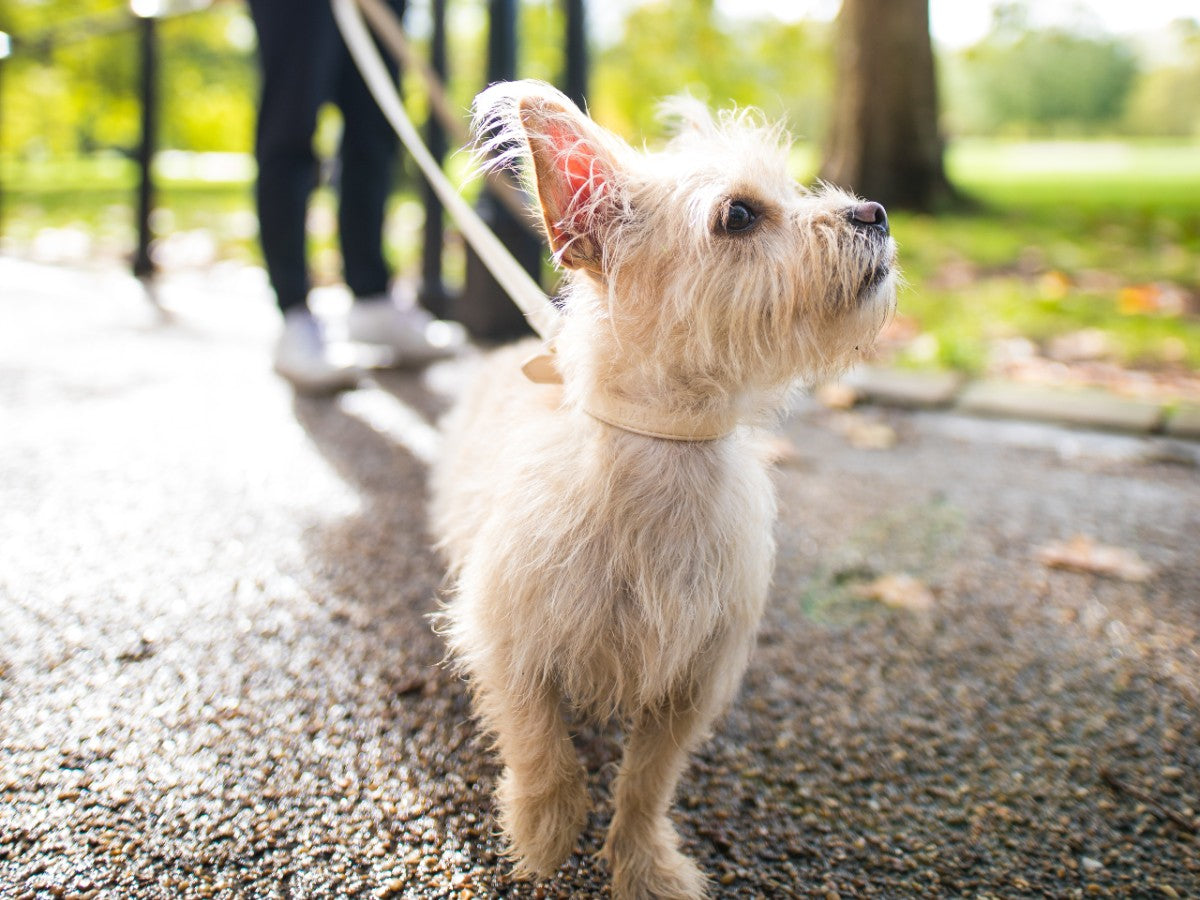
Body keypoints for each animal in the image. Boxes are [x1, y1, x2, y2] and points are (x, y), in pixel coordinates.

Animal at [429, 81, 892, 897]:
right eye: (739, 215)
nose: (875, 212)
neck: (668, 450)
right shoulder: (507, 639)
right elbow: (540, 745)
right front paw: (545, 833)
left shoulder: (691, 681)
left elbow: (647, 782)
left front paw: (643, 865)